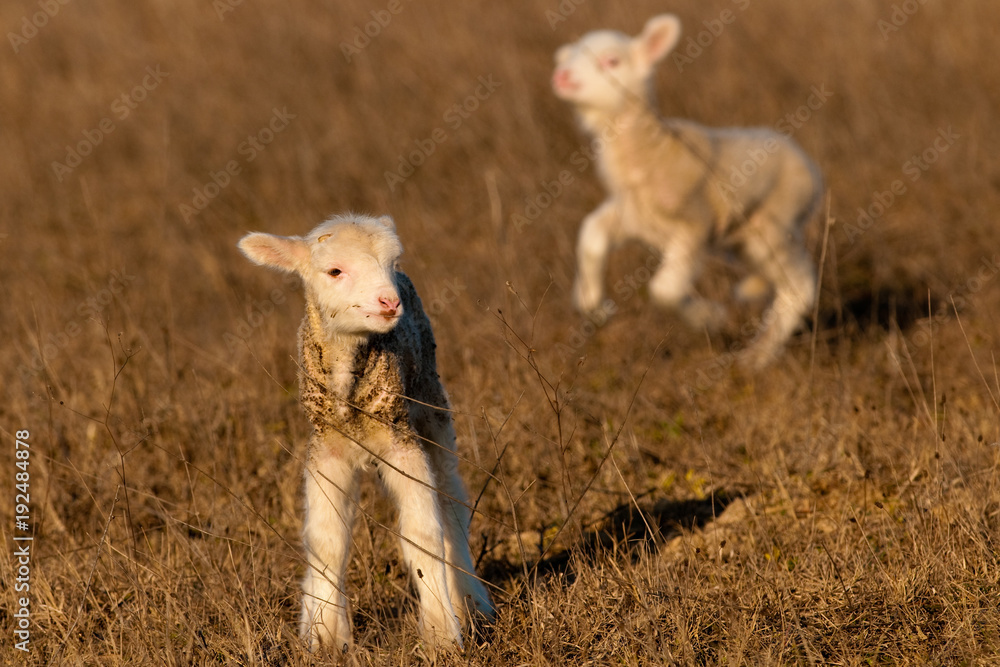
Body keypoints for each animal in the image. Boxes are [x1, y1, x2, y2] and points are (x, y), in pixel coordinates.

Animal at [239, 217, 496, 656]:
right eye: (335, 271)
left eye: (391, 263)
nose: (390, 302)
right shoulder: (326, 449)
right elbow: (325, 540)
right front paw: (325, 637)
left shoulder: (400, 439)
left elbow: (423, 534)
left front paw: (442, 638)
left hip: (430, 404)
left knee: (452, 503)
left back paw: (471, 604)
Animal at [552, 13, 824, 368]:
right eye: (569, 56)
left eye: (611, 61)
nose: (561, 76)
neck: (653, 154)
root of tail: (813, 171)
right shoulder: (632, 216)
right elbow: (591, 235)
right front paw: (594, 306)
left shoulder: (694, 225)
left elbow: (664, 289)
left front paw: (710, 318)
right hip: (746, 240)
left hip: (774, 226)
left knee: (800, 286)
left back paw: (756, 358)